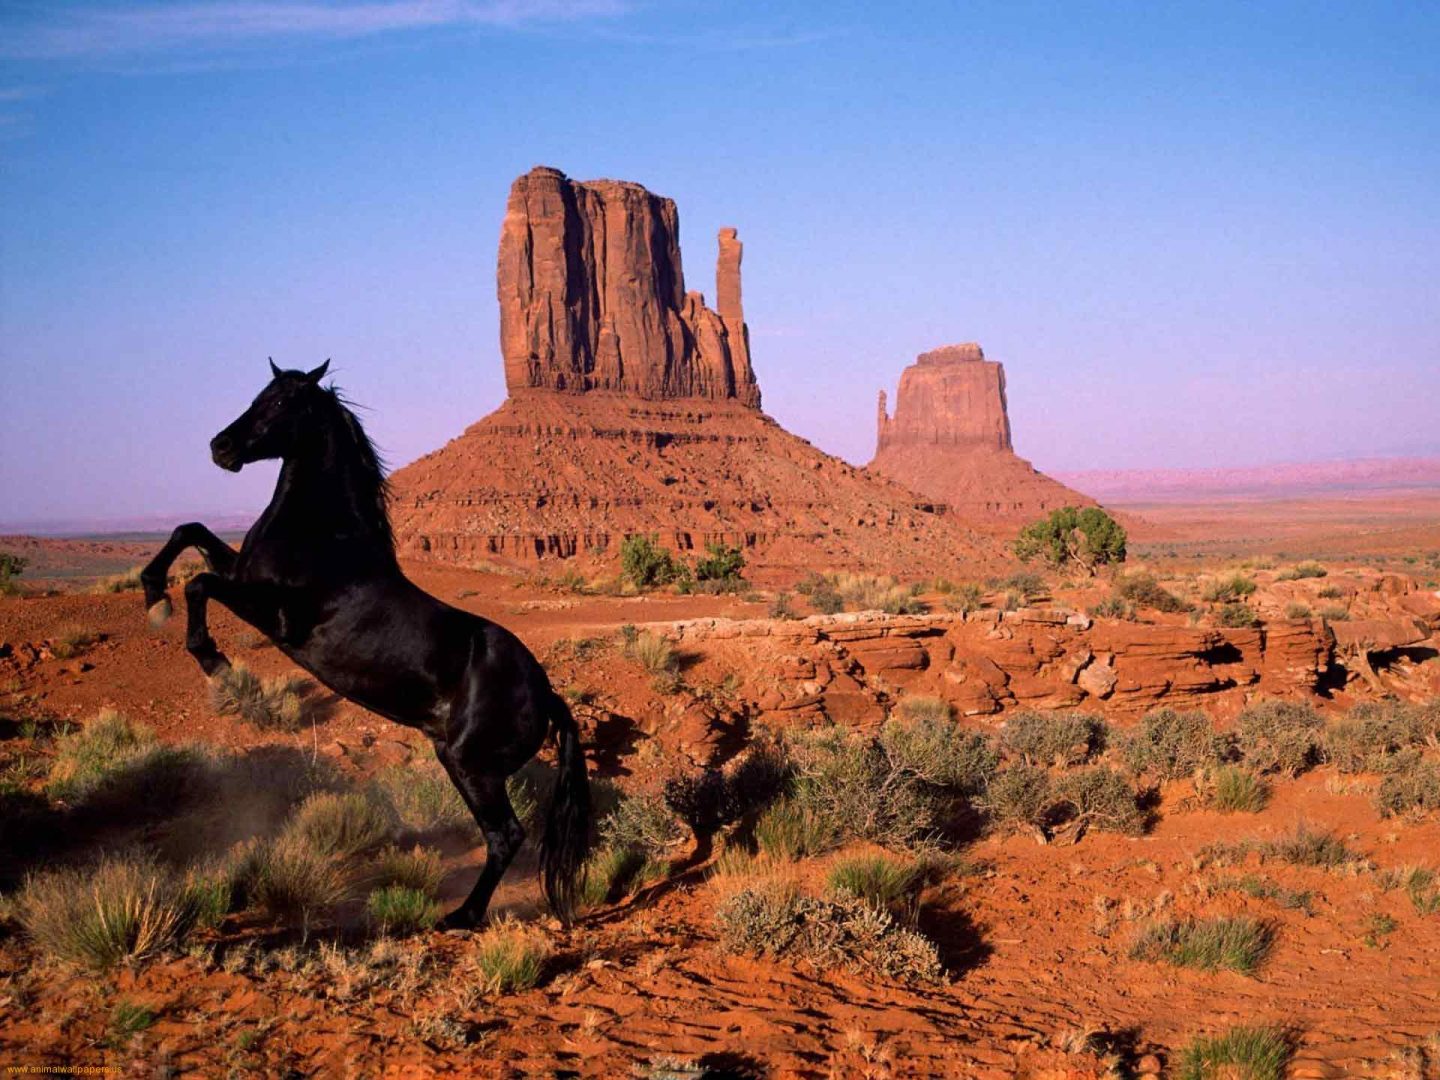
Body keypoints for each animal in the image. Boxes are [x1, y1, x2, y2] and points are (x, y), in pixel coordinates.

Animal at [135, 364, 584, 933]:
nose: (222, 447)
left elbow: (199, 584)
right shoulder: (242, 574)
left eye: (280, 401)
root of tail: (547, 694)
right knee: (502, 836)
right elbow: (189, 531)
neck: (324, 537)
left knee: (506, 835)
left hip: (472, 765)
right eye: (260, 394)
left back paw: (460, 916)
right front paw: (152, 590)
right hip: (456, 757)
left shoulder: (278, 617)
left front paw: (211, 656)